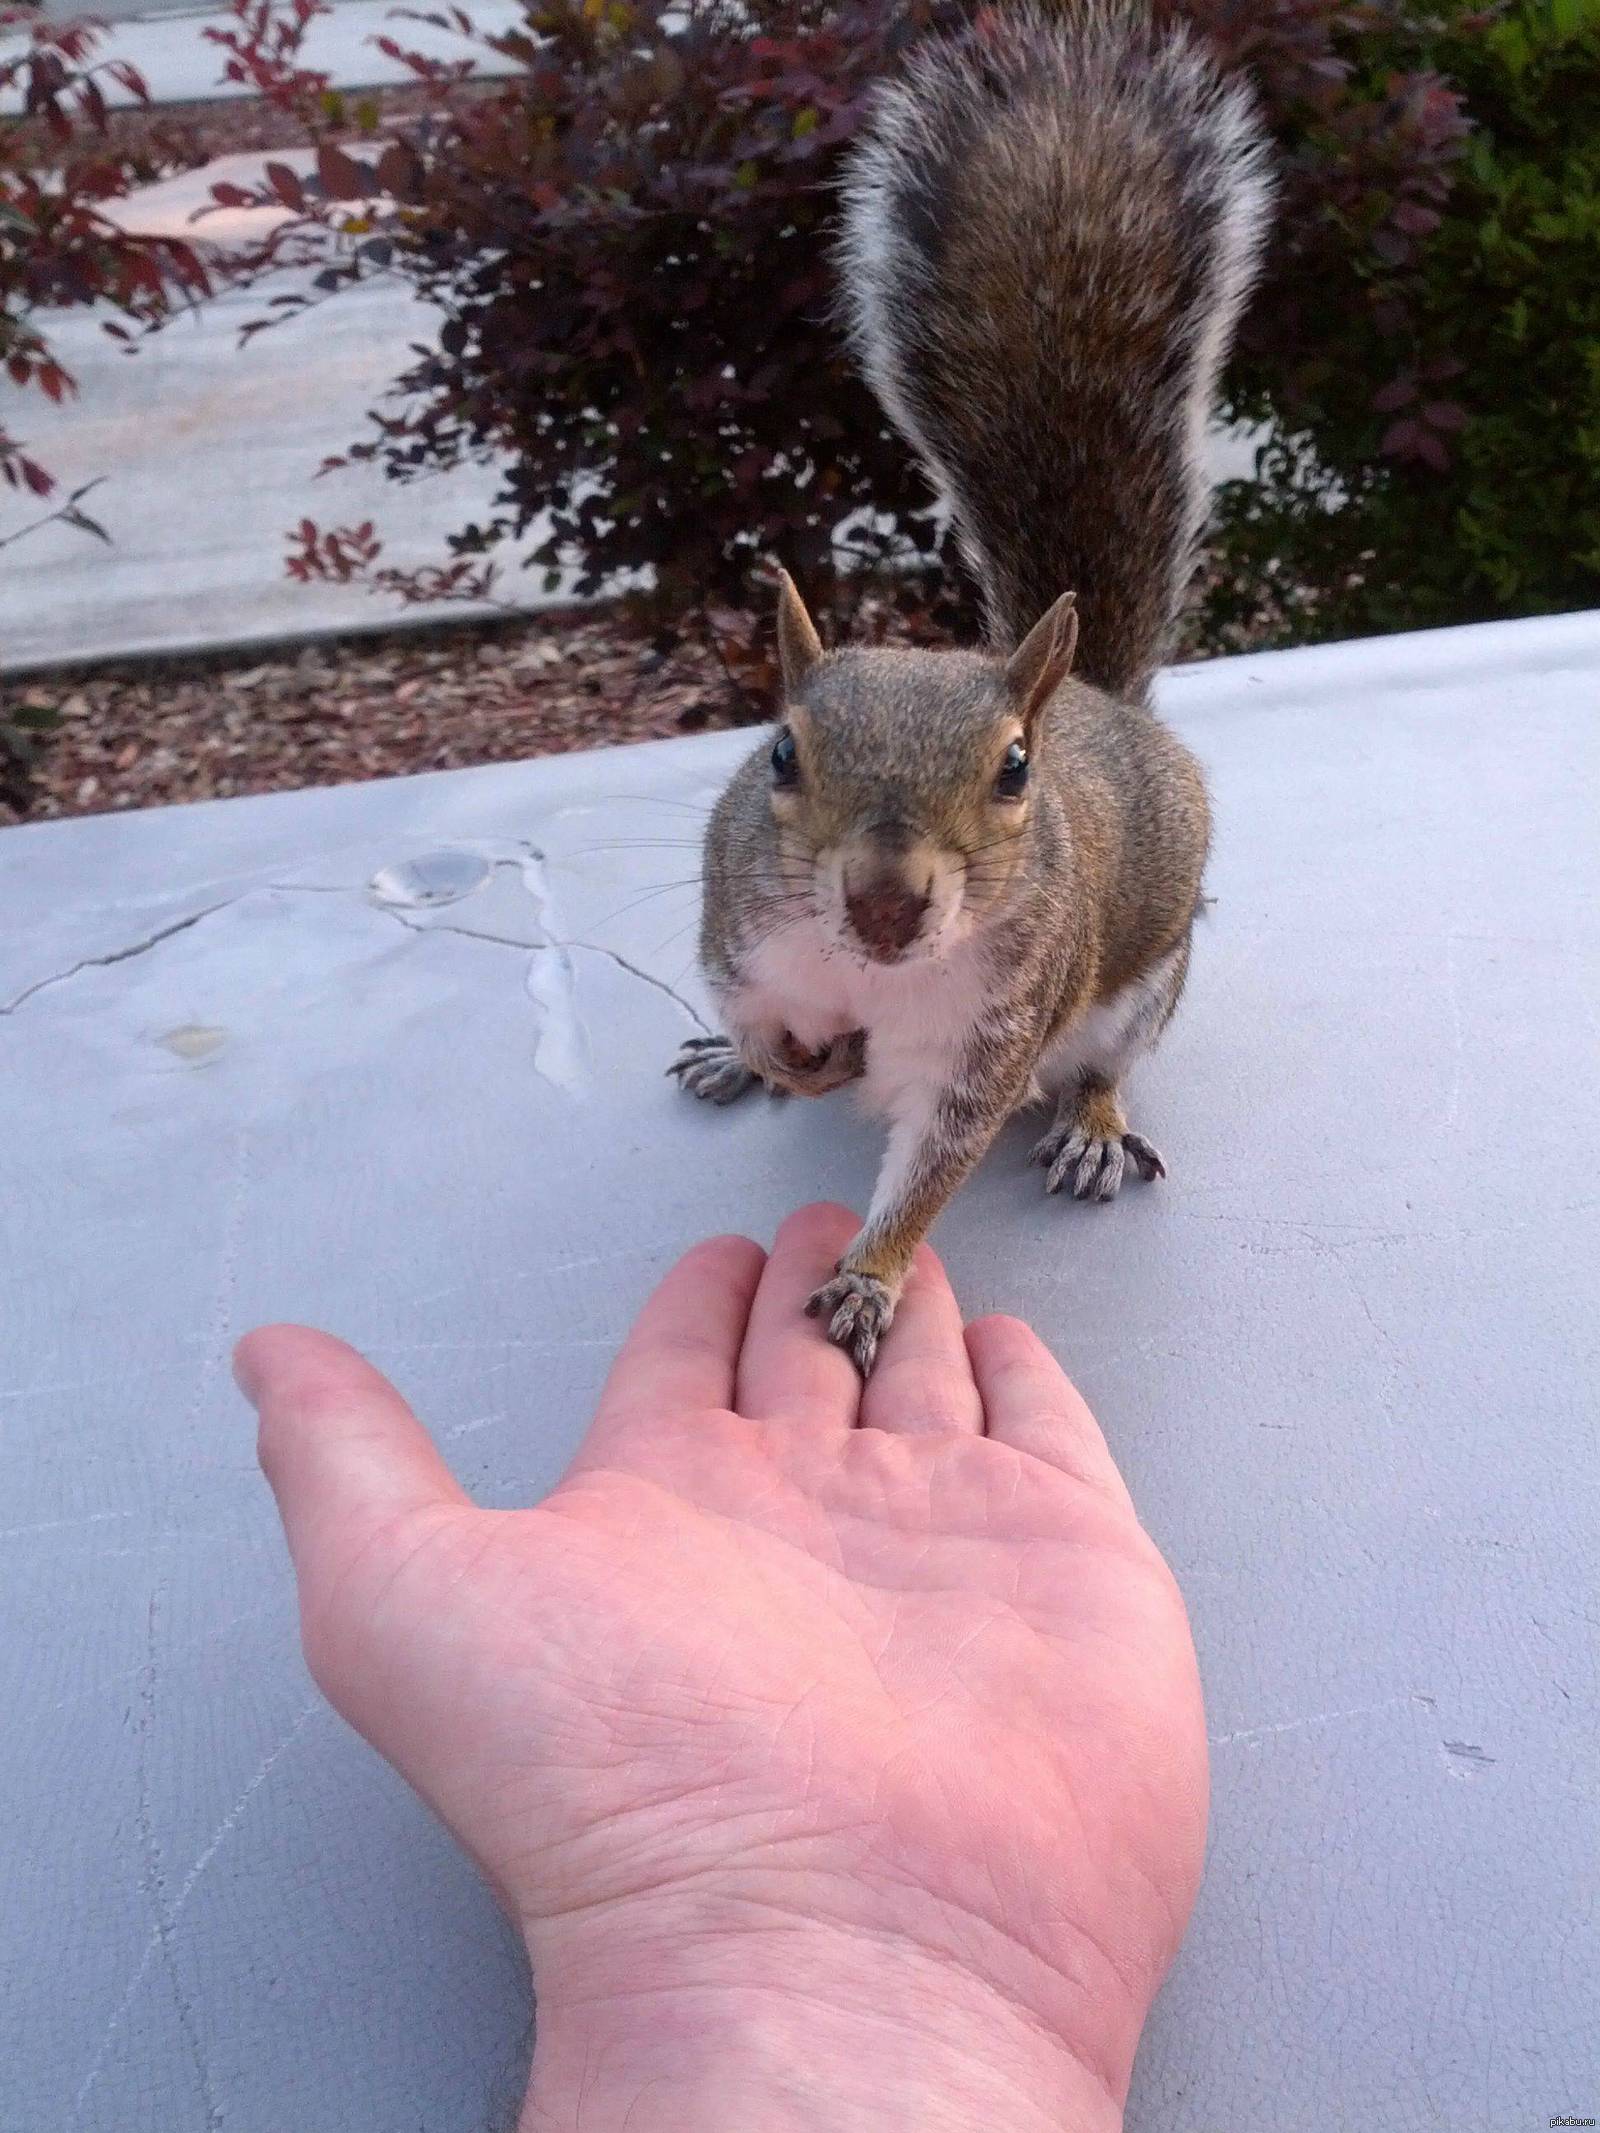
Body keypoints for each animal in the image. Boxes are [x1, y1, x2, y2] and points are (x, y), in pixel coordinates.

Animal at [669, 0, 1271, 1373]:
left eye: (1012, 771)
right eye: (777, 751)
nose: (888, 904)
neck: (868, 980)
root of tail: (1100, 699)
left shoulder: (987, 1045)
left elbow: (936, 1163)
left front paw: (867, 1279)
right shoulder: (739, 939)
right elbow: (758, 1017)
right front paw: (772, 1061)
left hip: (1140, 982)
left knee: (1107, 1060)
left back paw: (1093, 1127)